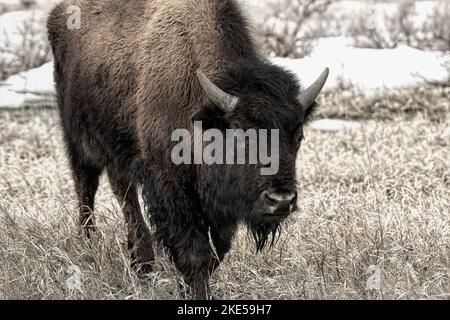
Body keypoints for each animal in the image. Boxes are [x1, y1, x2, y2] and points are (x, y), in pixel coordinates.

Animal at [47, 0, 328, 298]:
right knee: (87, 188)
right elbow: (194, 250)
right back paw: (95, 245)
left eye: (298, 135)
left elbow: (217, 250)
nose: (281, 200)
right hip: (78, 140)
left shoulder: (220, 206)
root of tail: (59, 12)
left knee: (122, 191)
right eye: (241, 133)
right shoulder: (169, 184)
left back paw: (140, 263)